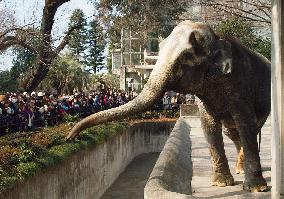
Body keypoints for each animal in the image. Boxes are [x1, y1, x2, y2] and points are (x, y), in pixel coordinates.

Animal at [66, 20, 270, 193]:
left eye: (186, 57)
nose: (70, 137)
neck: (217, 36)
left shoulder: (241, 85)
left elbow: (245, 124)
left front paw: (256, 189)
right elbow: (209, 127)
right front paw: (221, 184)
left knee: (250, 128)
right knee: (231, 132)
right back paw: (239, 169)